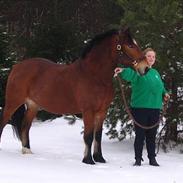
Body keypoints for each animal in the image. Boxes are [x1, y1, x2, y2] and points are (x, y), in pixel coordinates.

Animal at [0, 27, 147, 164]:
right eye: (130, 45)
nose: (145, 67)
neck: (94, 76)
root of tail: (16, 67)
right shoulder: (88, 111)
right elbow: (88, 136)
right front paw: (88, 160)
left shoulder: (102, 111)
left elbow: (97, 136)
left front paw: (99, 158)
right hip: (13, 103)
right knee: (3, 122)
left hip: (33, 106)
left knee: (25, 126)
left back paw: (27, 151)